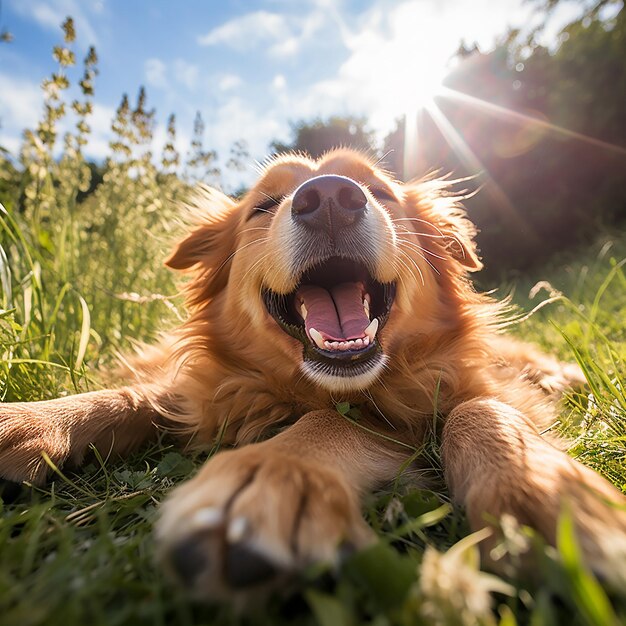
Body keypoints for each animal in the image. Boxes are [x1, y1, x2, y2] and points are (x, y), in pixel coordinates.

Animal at [1, 149, 624, 596]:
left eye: (380, 191)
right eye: (263, 205)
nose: (328, 197)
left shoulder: (442, 400)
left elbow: (466, 408)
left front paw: (545, 498)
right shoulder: (210, 392)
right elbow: (130, 397)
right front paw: (25, 423)